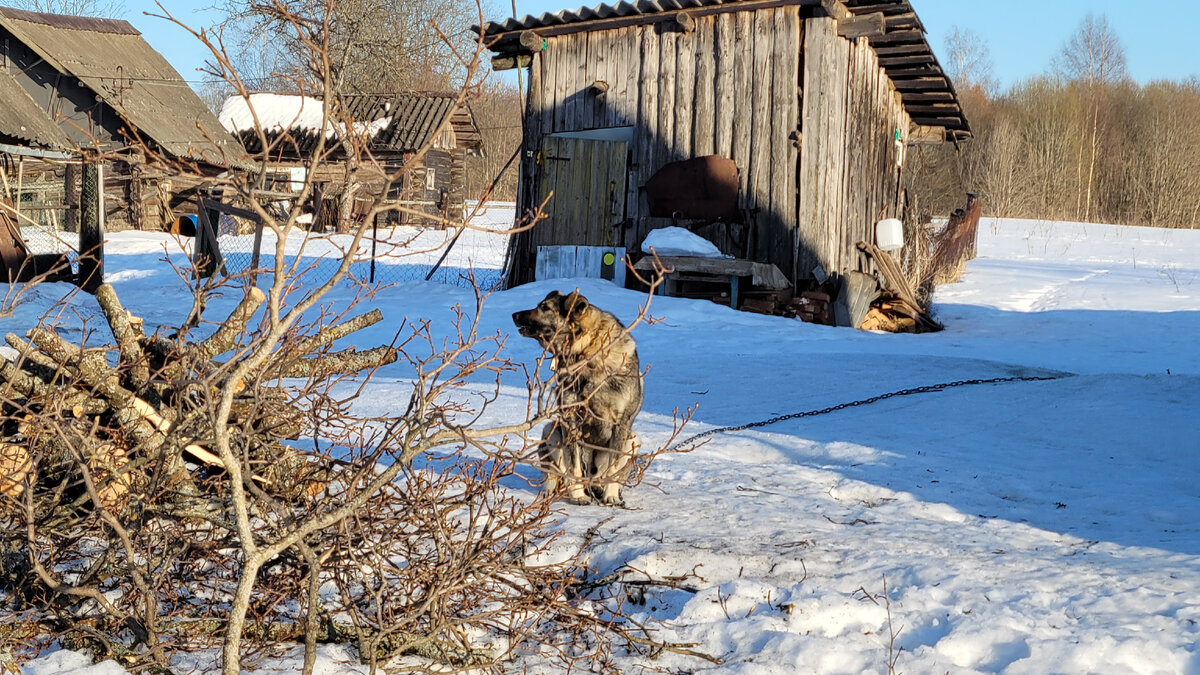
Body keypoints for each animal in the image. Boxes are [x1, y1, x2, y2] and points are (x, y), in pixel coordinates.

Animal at [516, 289, 648, 504]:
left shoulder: (621, 424)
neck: (586, 353)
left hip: (632, 440)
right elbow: (575, 466)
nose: (514, 315)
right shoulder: (570, 420)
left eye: (544, 307)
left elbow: (612, 467)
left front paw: (611, 496)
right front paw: (578, 496)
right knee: (556, 476)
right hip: (551, 431)